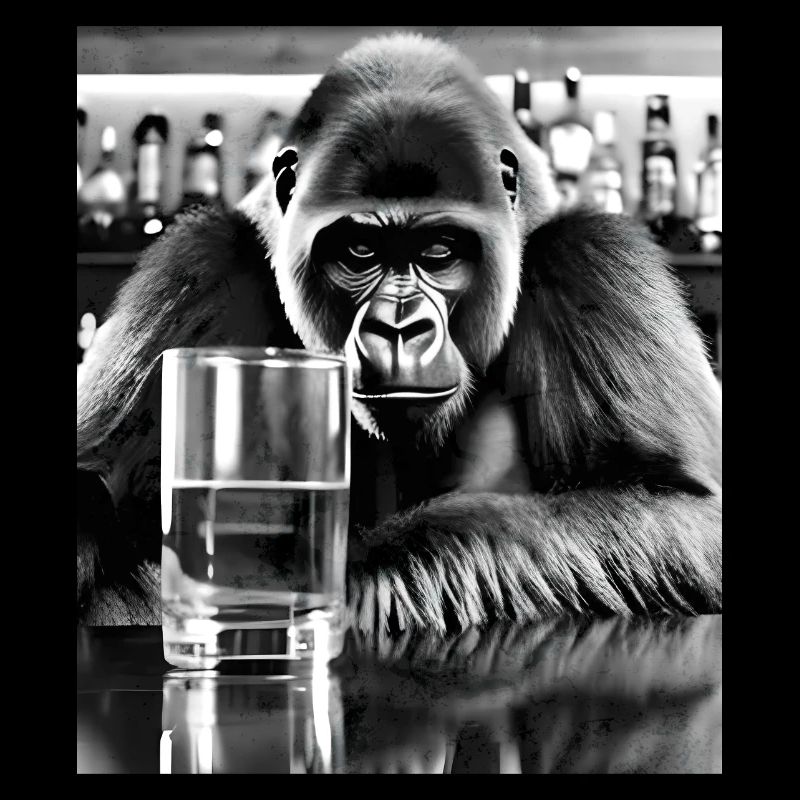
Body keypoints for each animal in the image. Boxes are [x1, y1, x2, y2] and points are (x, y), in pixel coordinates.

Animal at [77, 34, 721, 631]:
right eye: (360, 249)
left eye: (440, 250)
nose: (398, 326)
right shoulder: (201, 268)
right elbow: (97, 487)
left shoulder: (591, 260)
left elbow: (681, 510)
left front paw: (345, 586)